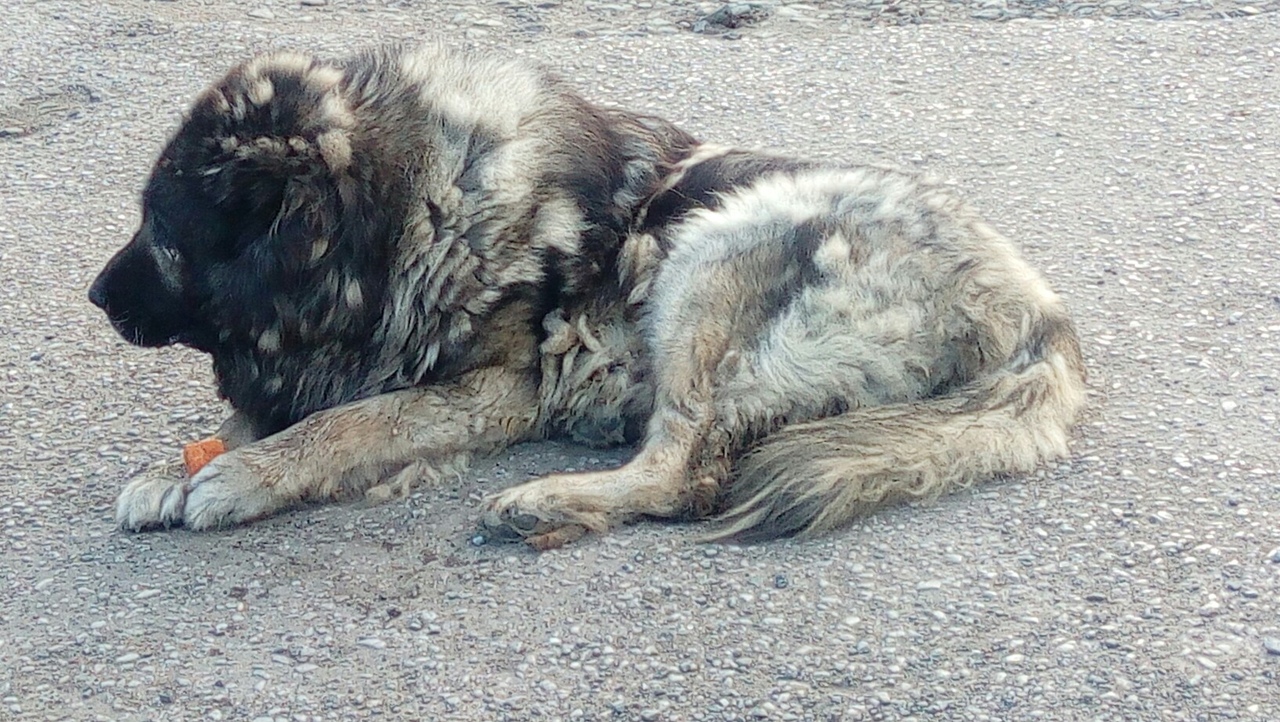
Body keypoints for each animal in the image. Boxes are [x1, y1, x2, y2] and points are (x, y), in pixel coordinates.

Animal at [90, 42, 1085, 547]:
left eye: (161, 233)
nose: (96, 296)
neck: (414, 208)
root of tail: (1035, 308)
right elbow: (276, 409)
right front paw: (176, 468)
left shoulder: (493, 389)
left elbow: (348, 422)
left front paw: (245, 475)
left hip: (714, 256)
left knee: (686, 474)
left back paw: (548, 501)